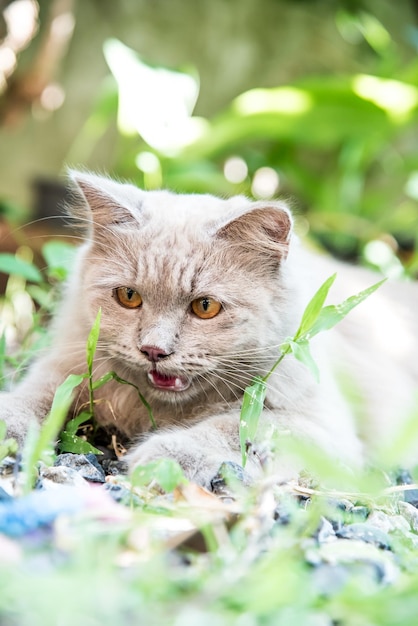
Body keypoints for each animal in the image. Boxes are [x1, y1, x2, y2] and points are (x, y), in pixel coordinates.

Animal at [0, 172, 418, 488]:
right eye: (129, 297)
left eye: (205, 307)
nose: (153, 349)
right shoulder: (66, 363)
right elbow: (36, 395)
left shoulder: (319, 423)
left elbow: (235, 427)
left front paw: (165, 456)